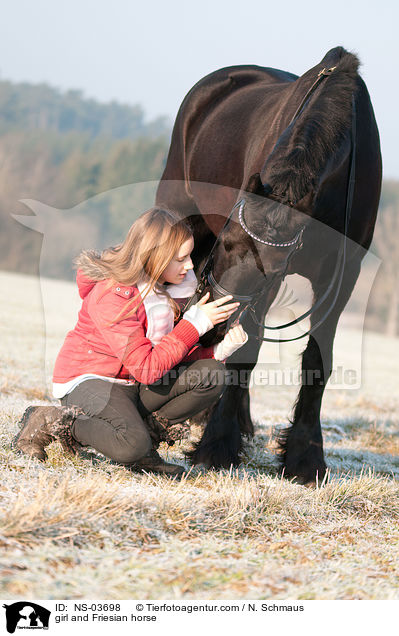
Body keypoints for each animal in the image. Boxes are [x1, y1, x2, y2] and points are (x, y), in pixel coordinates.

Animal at [155, 46, 382, 482]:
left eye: (273, 267)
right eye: (227, 241)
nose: (212, 325)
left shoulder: (342, 276)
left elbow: (316, 360)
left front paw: (305, 459)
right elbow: (246, 350)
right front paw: (217, 447)